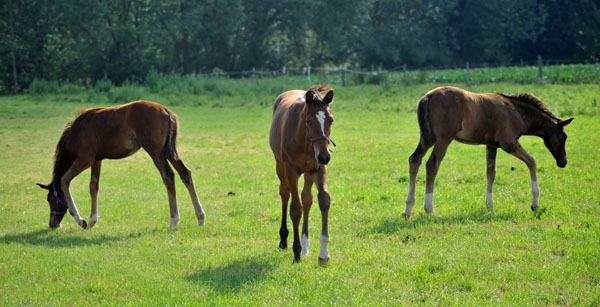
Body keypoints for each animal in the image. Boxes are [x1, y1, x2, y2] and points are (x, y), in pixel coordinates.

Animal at [39, 100, 206, 229]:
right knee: (185, 173)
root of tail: (166, 111)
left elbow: (64, 180)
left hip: (156, 152)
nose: (53, 224)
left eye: (50, 199)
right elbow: (93, 186)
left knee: (168, 176)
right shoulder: (97, 160)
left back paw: (174, 221)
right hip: (170, 151)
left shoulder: (85, 160)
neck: (76, 131)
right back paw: (200, 217)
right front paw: (92, 220)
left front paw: (80, 220)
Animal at [270, 86, 336, 264]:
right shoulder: (291, 171)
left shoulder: (318, 168)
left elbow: (323, 200)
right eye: (309, 121)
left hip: (308, 172)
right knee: (285, 193)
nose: (325, 156)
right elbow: (295, 209)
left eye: (331, 120)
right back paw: (284, 239)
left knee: (307, 198)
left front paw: (324, 254)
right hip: (280, 165)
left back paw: (306, 244)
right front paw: (296, 251)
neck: (306, 143)